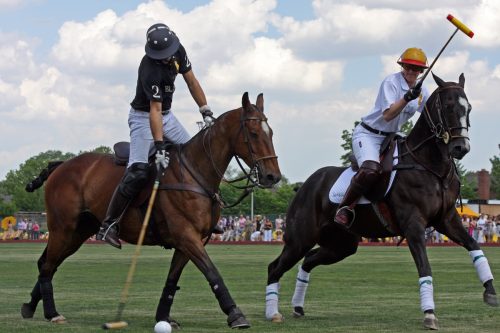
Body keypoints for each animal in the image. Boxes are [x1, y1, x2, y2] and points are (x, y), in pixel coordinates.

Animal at [20, 92, 282, 328]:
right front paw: (235, 314)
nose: (273, 176)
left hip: (78, 232)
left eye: (271, 132)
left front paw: (164, 317)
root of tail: (60, 165)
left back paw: (30, 307)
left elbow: (172, 280)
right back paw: (52, 313)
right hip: (62, 228)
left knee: (47, 263)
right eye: (254, 133)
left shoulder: (192, 240)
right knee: (47, 265)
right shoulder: (186, 235)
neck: (195, 173)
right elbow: (213, 272)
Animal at [264, 74, 498, 328]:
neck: (430, 166)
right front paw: (429, 313)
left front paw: (490, 291)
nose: (460, 147)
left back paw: (297, 307)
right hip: (301, 237)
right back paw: (273, 313)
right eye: (448, 106)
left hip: (341, 244)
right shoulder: (413, 223)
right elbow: (424, 266)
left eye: (469, 108)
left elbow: (474, 246)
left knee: (308, 260)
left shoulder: (446, 219)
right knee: (275, 267)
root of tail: (305, 185)